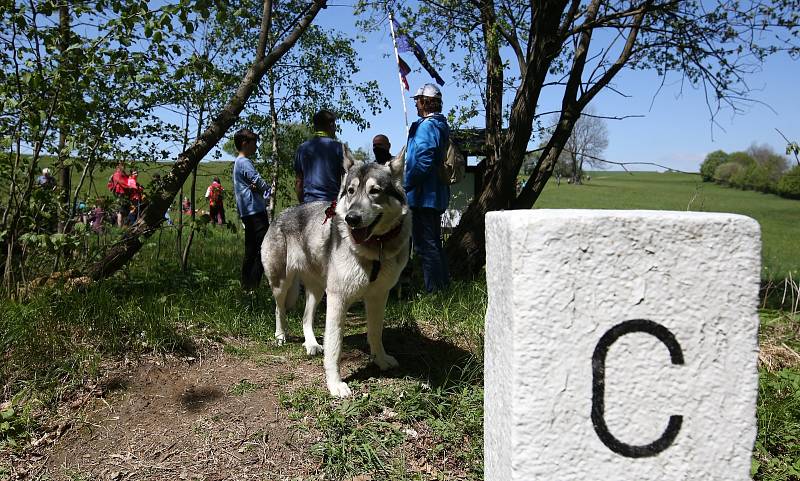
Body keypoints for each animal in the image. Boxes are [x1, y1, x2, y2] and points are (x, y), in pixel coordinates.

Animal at [262, 152, 410, 396]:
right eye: (350, 190)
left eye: (375, 190)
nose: (352, 219)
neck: (375, 247)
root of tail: (282, 213)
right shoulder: (338, 299)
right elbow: (334, 346)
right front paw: (335, 384)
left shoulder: (378, 297)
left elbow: (375, 333)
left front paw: (381, 360)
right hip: (282, 284)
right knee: (279, 309)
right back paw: (281, 336)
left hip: (318, 290)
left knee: (305, 317)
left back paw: (312, 344)